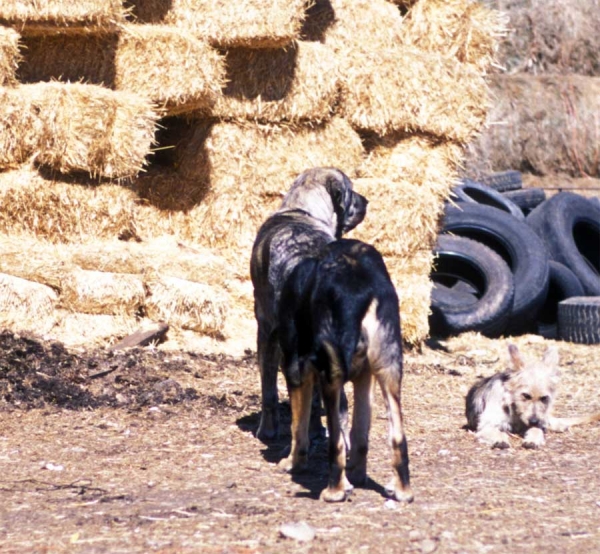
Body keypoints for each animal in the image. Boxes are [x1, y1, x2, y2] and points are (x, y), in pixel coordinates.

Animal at [247, 166, 366, 438]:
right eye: (352, 191)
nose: (366, 201)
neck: (302, 210)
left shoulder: (266, 332)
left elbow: (268, 389)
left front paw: (267, 430)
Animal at [276, 239, 412, 502]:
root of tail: (365, 285)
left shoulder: (295, 370)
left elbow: (298, 427)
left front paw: (292, 462)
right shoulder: (365, 378)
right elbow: (360, 436)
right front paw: (357, 476)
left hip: (330, 374)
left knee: (336, 442)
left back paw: (335, 491)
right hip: (388, 369)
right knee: (397, 436)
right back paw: (402, 491)